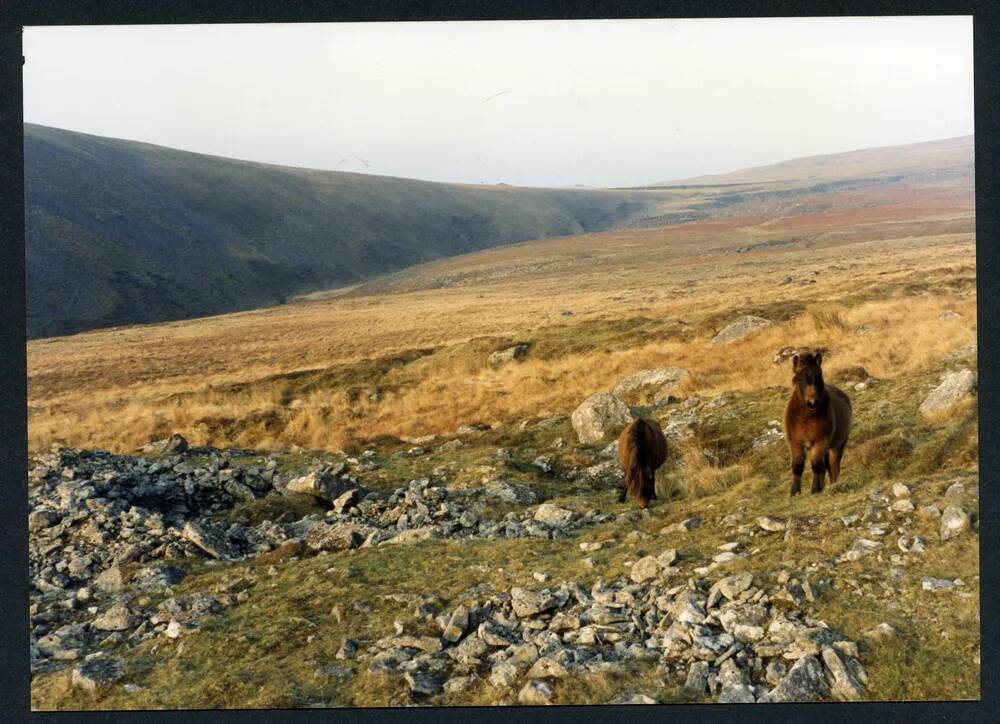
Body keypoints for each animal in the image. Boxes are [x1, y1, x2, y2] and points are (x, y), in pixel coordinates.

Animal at [780, 352, 852, 498]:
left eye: (819, 376)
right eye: (798, 379)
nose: (812, 403)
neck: (807, 418)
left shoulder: (820, 442)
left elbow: (817, 465)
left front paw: (815, 489)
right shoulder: (795, 442)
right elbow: (797, 466)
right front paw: (794, 491)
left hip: (836, 446)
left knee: (833, 467)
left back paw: (833, 486)